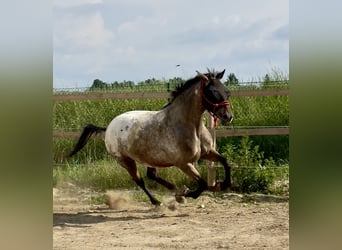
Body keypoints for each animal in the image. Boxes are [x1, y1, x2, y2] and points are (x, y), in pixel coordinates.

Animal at [69, 69, 235, 205]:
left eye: (226, 91)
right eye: (212, 92)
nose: (228, 117)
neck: (190, 126)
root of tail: (109, 127)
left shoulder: (207, 153)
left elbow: (226, 162)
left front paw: (223, 184)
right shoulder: (183, 163)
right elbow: (202, 184)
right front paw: (185, 194)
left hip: (151, 159)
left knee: (151, 175)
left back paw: (176, 191)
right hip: (125, 161)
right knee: (140, 181)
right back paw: (158, 201)